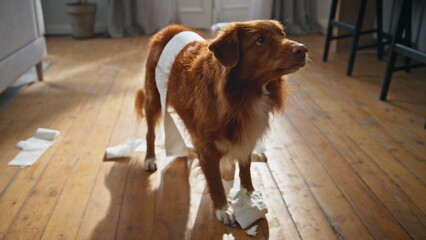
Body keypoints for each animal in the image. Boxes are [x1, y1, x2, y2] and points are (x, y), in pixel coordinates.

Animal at [136, 19, 306, 224]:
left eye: (283, 34)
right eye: (260, 40)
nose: (303, 49)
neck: (243, 96)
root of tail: (170, 28)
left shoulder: (246, 138)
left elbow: (245, 169)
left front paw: (250, 194)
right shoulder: (208, 150)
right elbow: (215, 181)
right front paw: (223, 208)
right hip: (153, 99)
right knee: (150, 133)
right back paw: (150, 158)